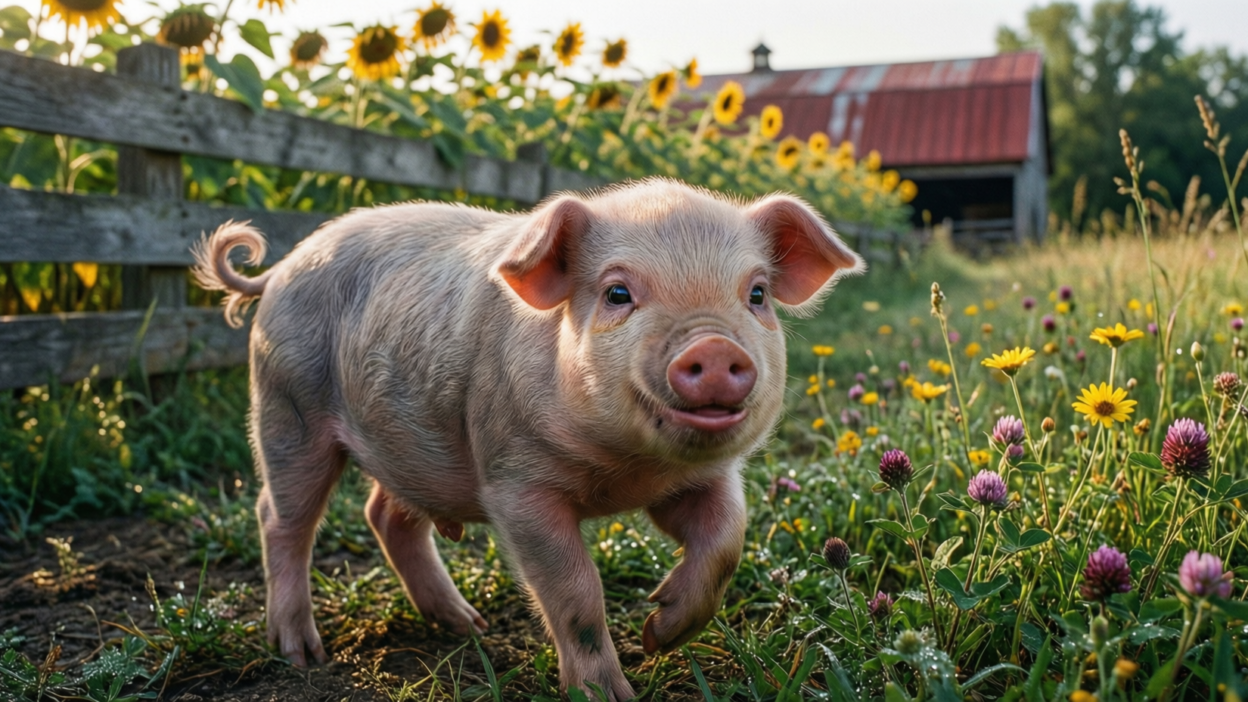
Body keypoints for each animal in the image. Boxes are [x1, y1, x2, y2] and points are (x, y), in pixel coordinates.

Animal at [191, 178, 863, 699]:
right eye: (618, 293)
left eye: (757, 295)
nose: (717, 348)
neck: (625, 472)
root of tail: (279, 269)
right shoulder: (515, 483)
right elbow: (575, 590)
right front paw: (609, 693)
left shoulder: (702, 479)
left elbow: (727, 541)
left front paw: (659, 630)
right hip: (286, 408)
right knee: (281, 518)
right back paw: (303, 654)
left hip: (406, 444)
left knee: (385, 515)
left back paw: (468, 626)